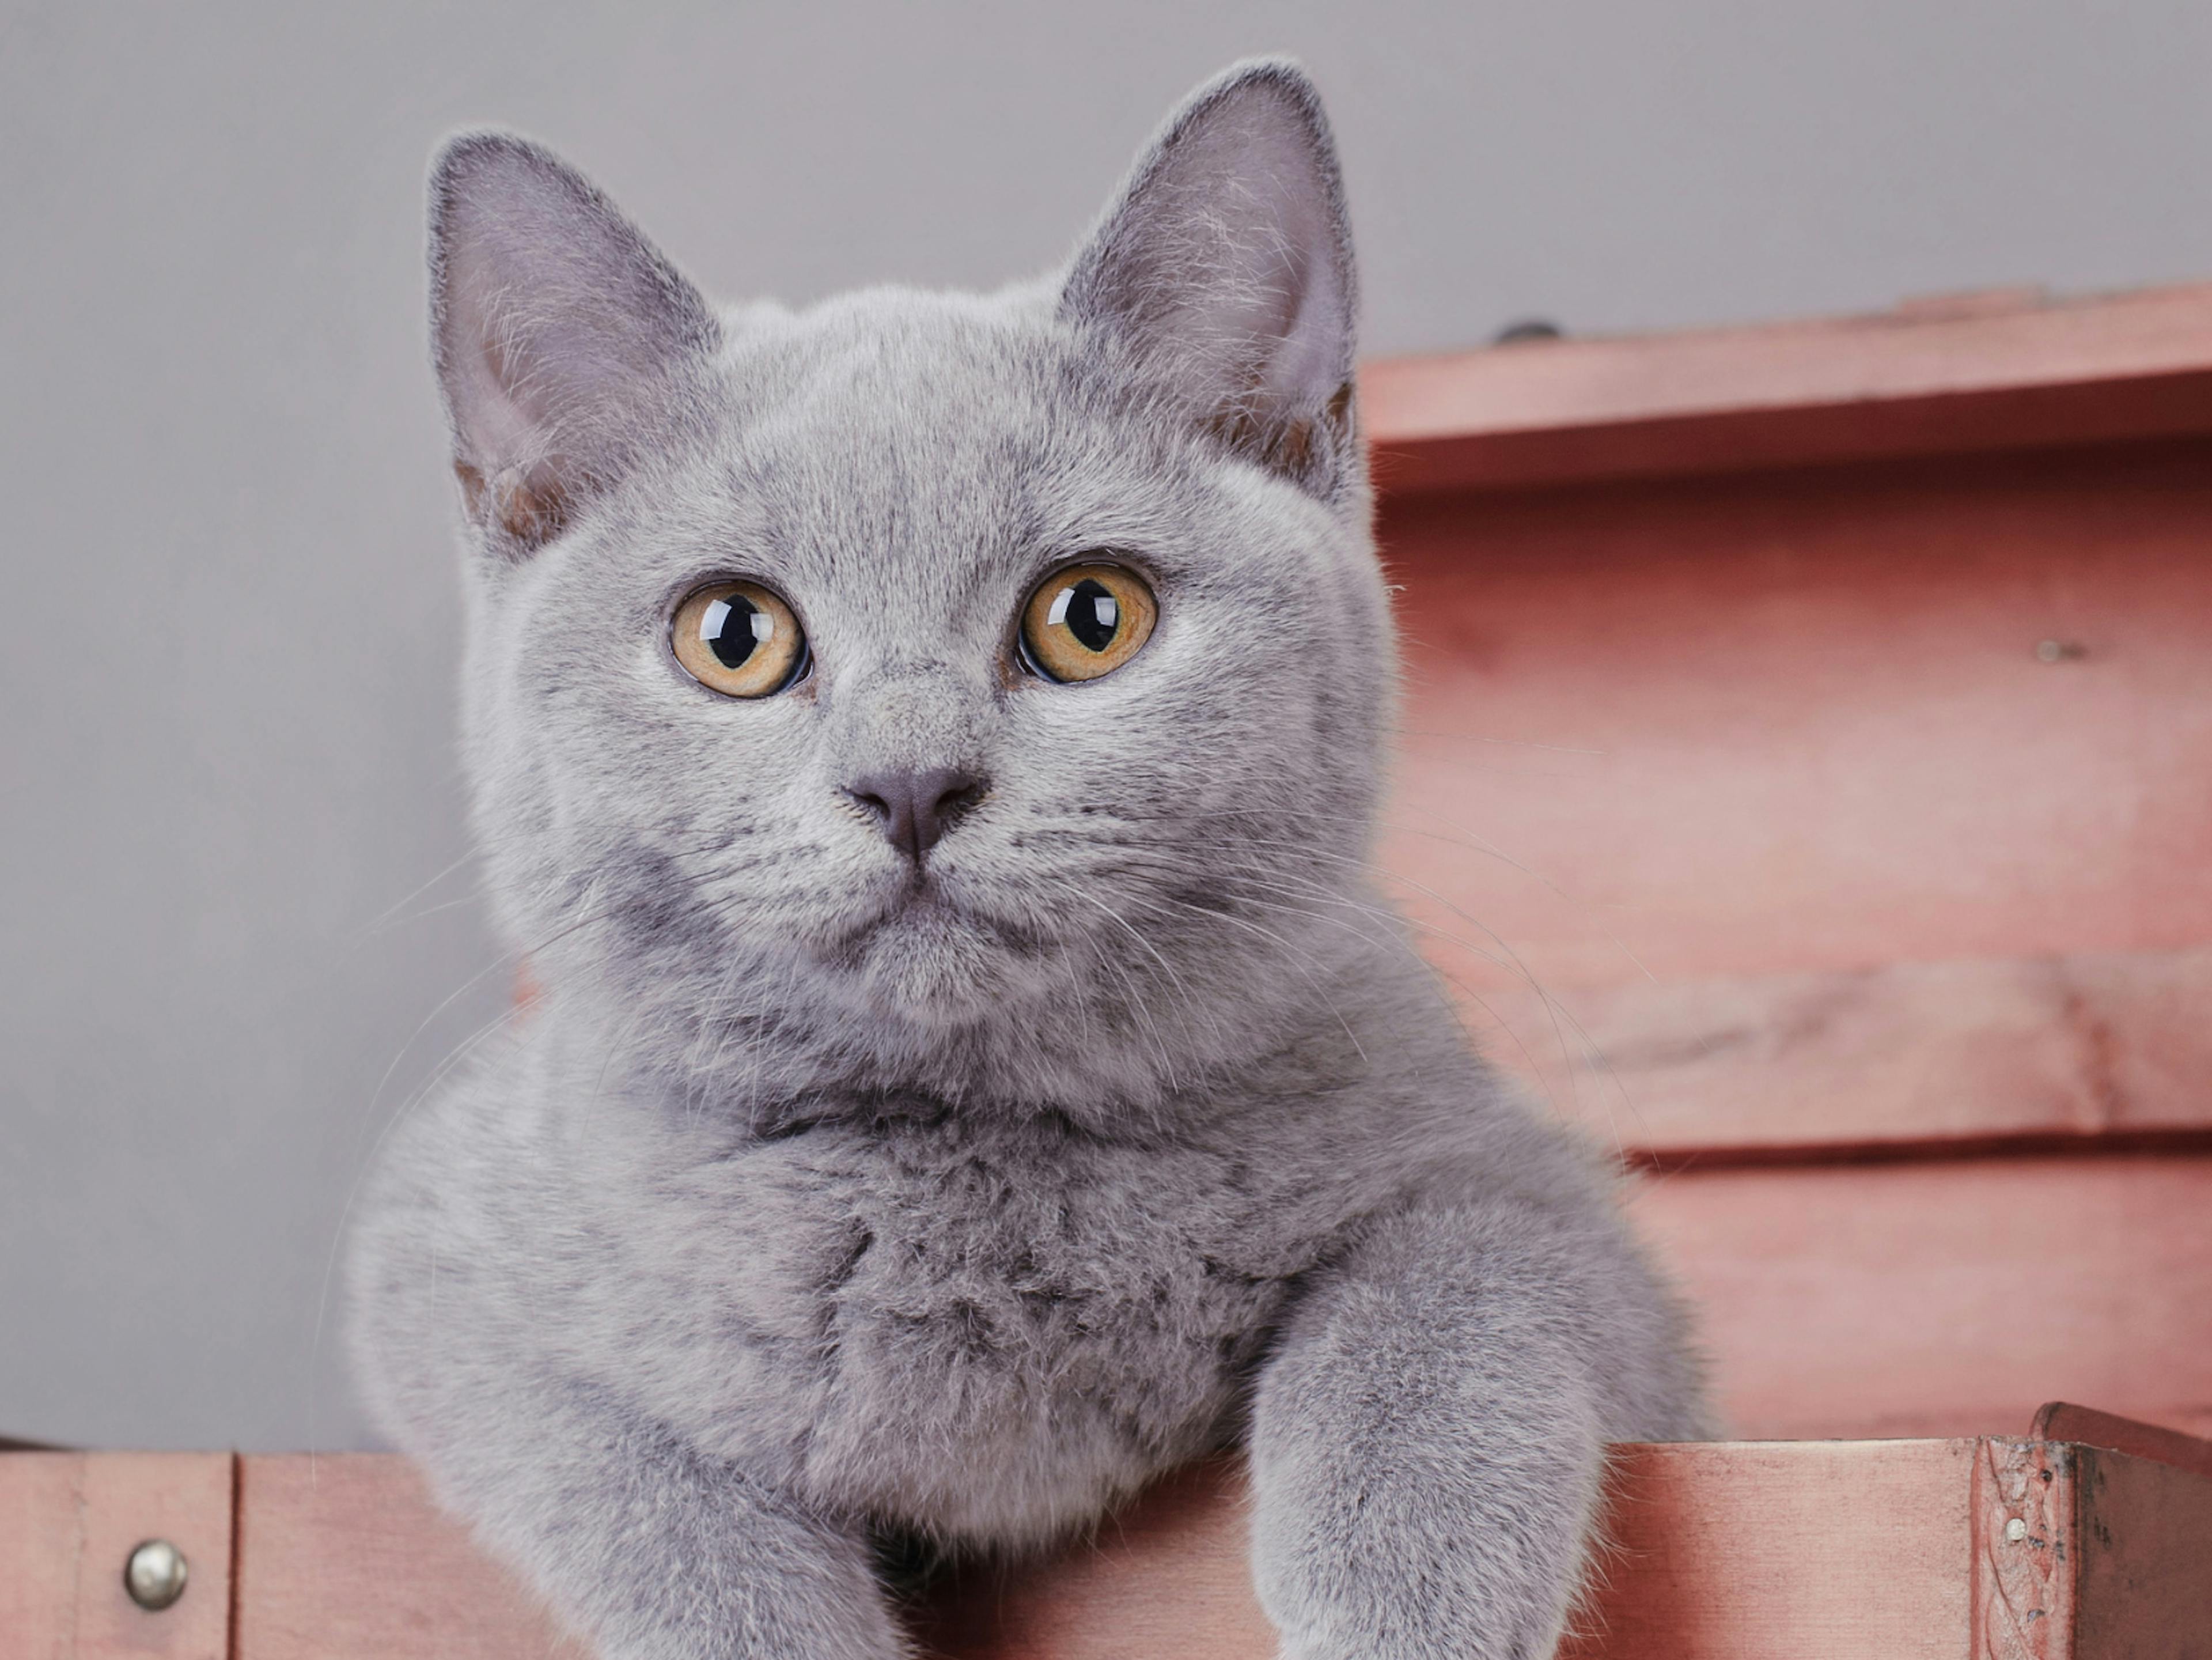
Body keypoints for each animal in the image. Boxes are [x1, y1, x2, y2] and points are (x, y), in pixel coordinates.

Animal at [349, 58, 1707, 1660]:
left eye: (1090, 617)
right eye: (732, 635)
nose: (911, 781)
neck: (963, 1162)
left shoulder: (1545, 1204)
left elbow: (1445, 1283)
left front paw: (1401, 1607)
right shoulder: (441, 1263)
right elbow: (640, 1476)